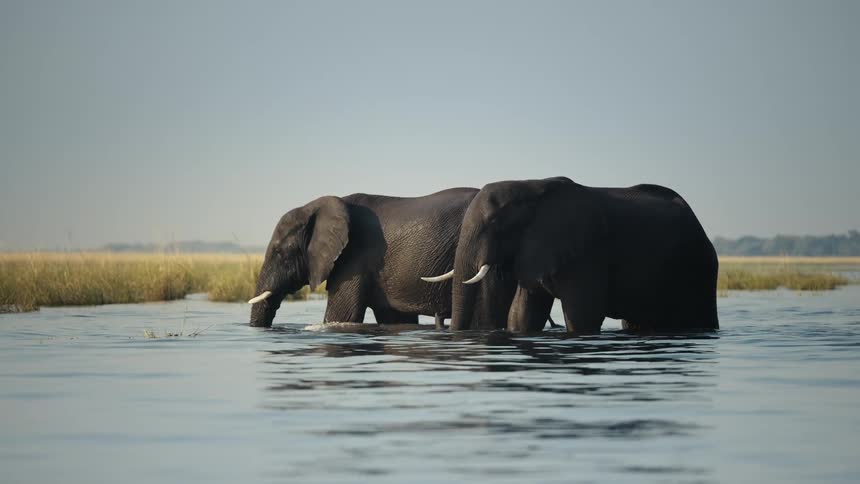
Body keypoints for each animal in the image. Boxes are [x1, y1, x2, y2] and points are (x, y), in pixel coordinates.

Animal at [423, 177, 719, 334]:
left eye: (494, 223)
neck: (531, 187)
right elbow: (523, 313)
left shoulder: (587, 250)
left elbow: (584, 315)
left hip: (700, 267)